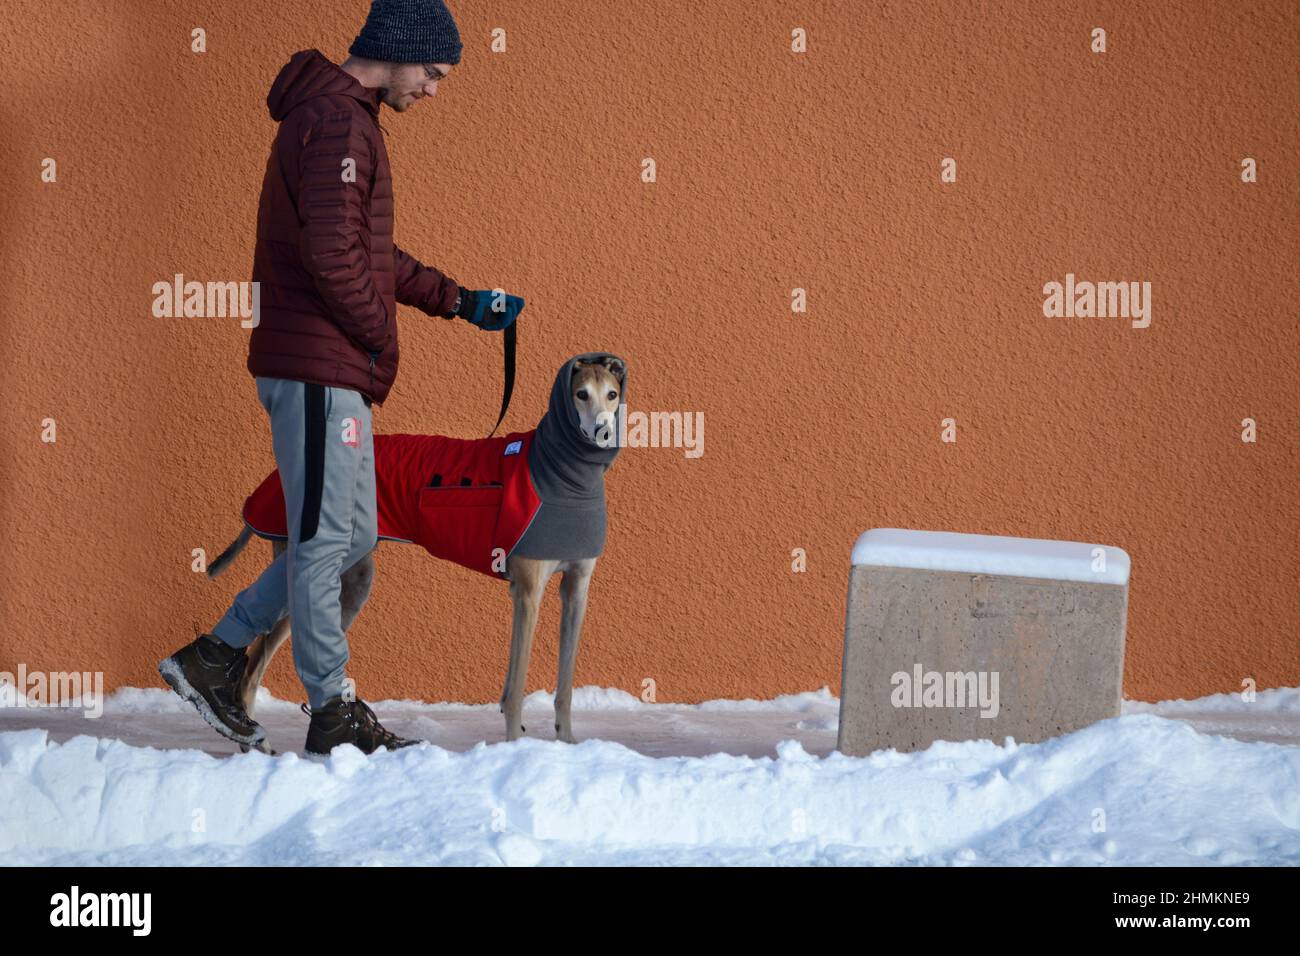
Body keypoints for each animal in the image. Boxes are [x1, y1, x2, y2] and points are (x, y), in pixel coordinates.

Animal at [205, 351, 626, 749]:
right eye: (580, 394)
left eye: (612, 394)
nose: (603, 430)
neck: (561, 473)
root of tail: (277, 476)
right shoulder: (526, 592)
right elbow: (515, 685)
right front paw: (515, 748)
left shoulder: (576, 590)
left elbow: (565, 684)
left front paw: (568, 743)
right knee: (253, 664)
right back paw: (253, 742)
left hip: (352, 580)